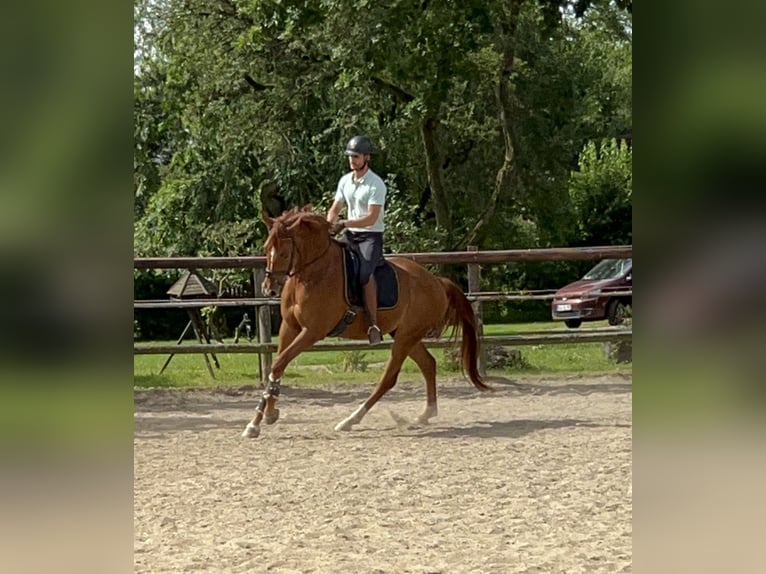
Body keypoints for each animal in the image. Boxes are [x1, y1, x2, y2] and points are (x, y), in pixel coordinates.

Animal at [243, 209, 496, 438]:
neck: (312, 274)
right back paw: (425, 415)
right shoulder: (290, 327)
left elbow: (278, 364)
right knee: (428, 364)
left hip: (405, 337)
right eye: (266, 249)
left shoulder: (312, 331)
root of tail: (437, 281)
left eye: (284, 253)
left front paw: (260, 420)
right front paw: (261, 419)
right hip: (405, 334)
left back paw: (350, 420)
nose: (269, 289)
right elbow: (277, 367)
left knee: (389, 379)